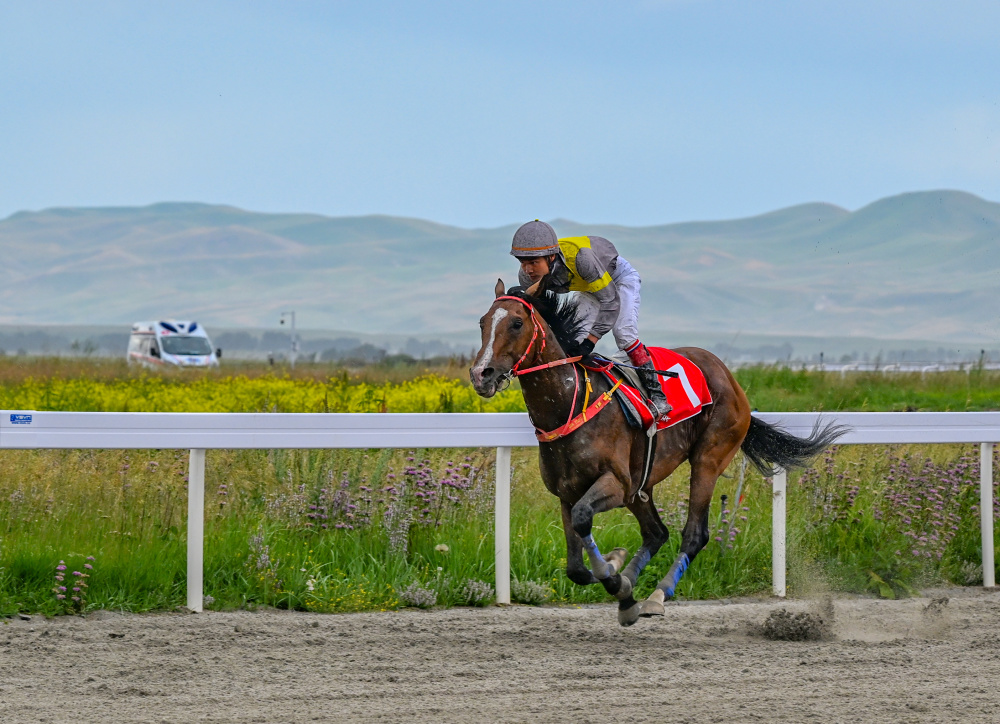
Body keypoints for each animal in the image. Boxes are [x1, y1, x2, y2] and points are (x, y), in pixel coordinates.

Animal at [468, 280, 844, 624]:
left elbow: (584, 519)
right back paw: (632, 595)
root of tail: (728, 377)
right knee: (656, 533)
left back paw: (656, 596)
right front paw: (618, 577)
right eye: (483, 322)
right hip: (642, 484)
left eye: (517, 323)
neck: (569, 404)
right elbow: (575, 566)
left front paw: (615, 571)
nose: (481, 374)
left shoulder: (616, 483)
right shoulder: (567, 492)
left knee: (694, 535)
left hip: (707, 459)